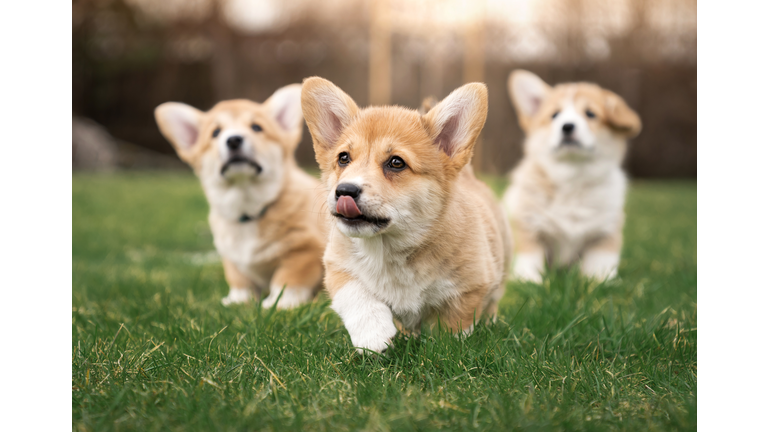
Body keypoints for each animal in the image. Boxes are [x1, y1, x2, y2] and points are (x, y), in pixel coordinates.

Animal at [154, 83, 326, 308]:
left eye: (256, 127)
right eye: (215, 132)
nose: (234, 139)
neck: (247, 206)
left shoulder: (303, 251)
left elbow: (288, 279)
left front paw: (279, 303)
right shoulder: (232, 260)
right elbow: (239, 280)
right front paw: (238, 301)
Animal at [300, 78, 510, 354]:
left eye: (396, 163)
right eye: (343, 158)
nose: (344, 191)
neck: (391, 249)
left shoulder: (470, 286)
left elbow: (453, 327)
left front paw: (445, 349)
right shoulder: (337, 265)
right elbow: (355, 295)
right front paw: (373, 336)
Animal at [504, 69, 640, 282]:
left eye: (590, 113)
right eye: (554, 115)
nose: (567, 126)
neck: (572, 178)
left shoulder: (605, 232)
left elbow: (601, 263)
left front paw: (601, 280)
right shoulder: (528, 225)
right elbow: (529, 257)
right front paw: (528, 279)